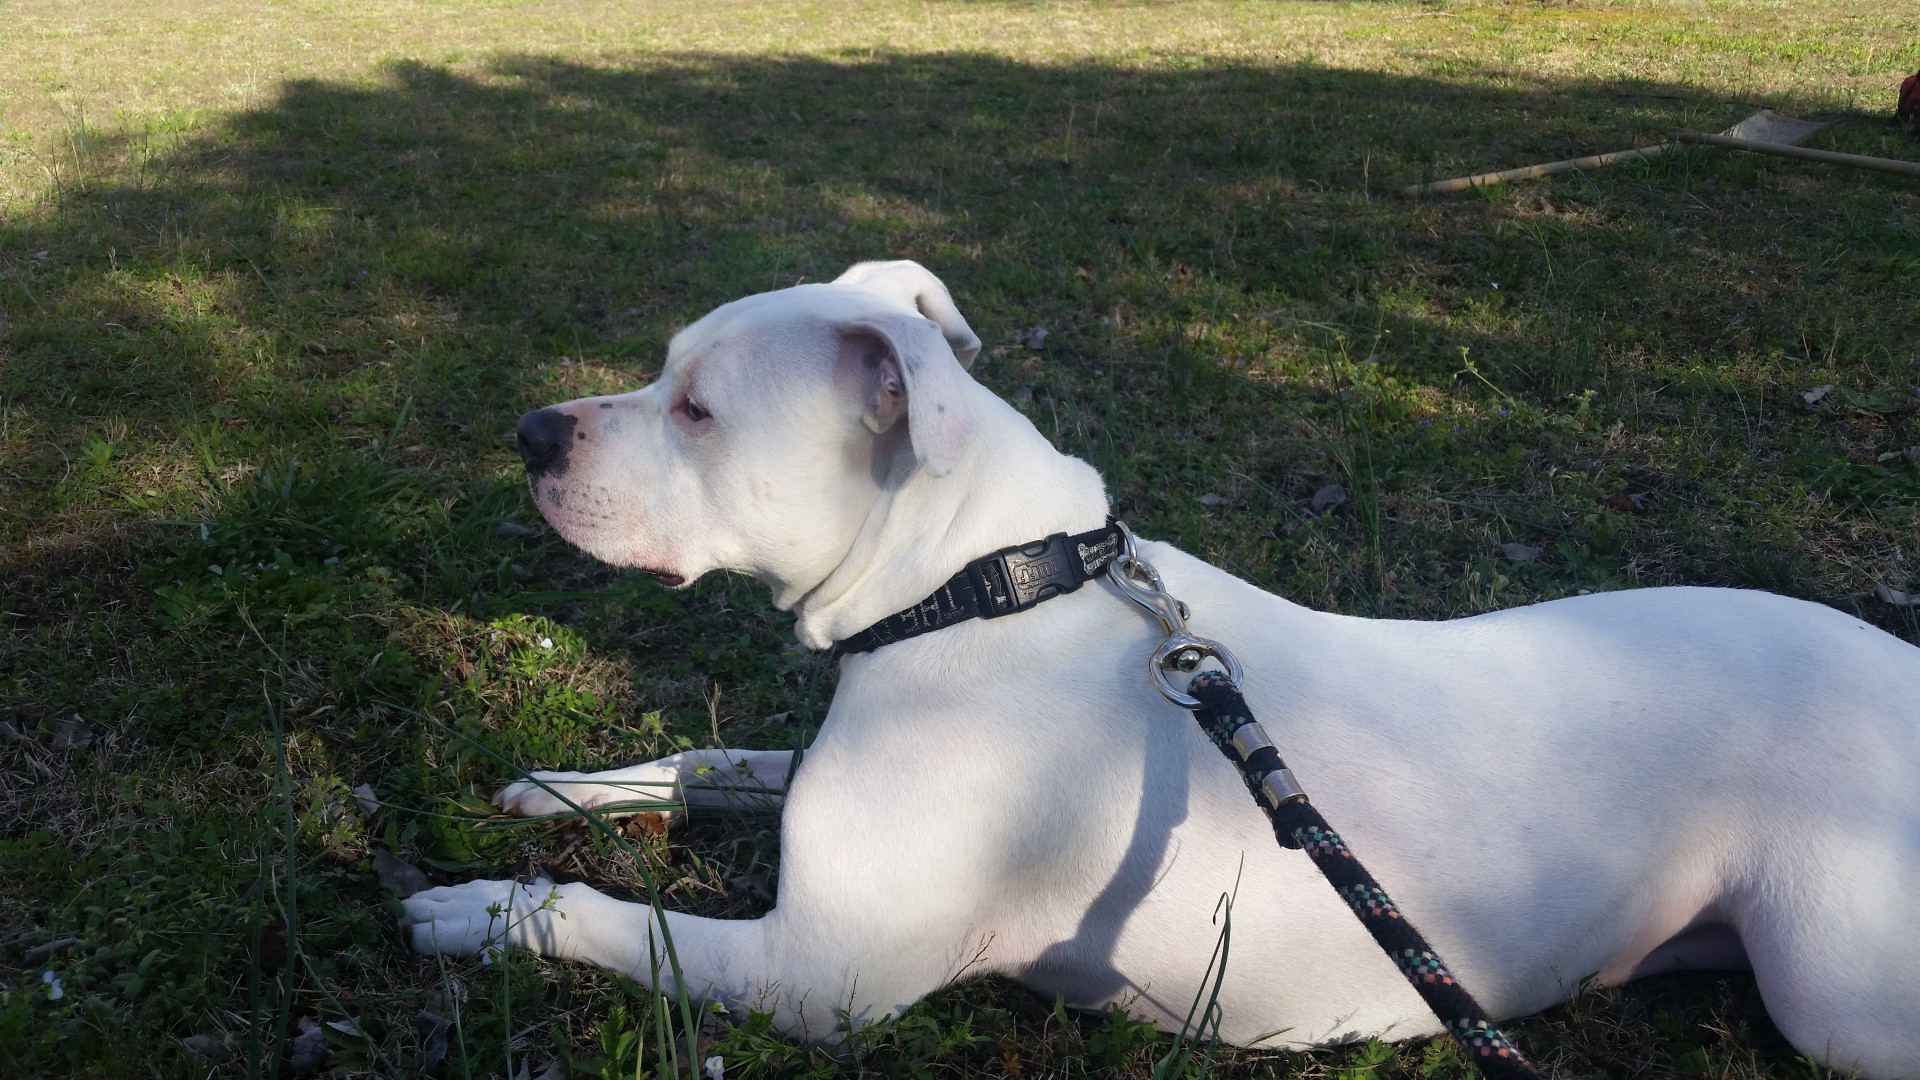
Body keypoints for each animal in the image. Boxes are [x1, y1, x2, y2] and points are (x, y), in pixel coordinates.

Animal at [402, 261, 1920, 1078]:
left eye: (700, 413)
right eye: (662, 377)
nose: (533, 432)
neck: (979, 587)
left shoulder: (812, 973)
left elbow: (609, 919)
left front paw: (480, 908)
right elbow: (712, 757)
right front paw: (562, 787)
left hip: (1839, 995)